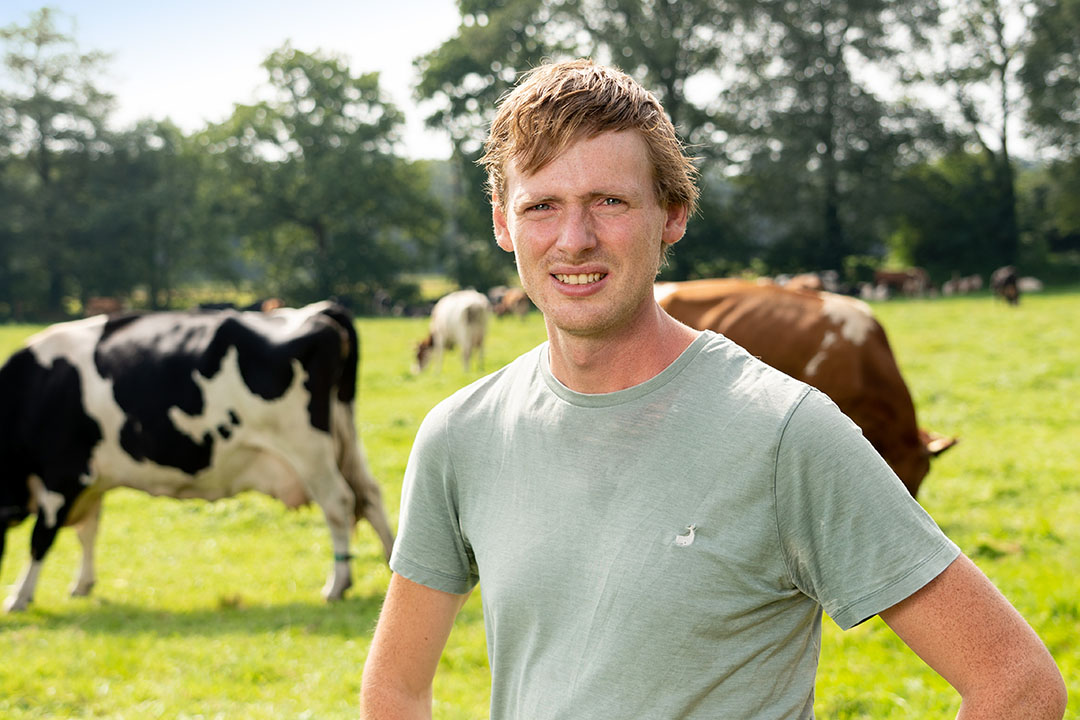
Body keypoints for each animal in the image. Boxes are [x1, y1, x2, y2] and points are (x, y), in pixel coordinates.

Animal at [0, 302, 397, 613]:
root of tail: (317, 312)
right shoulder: (90, 479)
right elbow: (88, 531)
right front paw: (82, 585)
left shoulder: (64, 473)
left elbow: (41, 538)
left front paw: (19, 596)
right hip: (344, 439)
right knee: (370, 495)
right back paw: (390, 562)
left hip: (308, 448)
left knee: (339, 503)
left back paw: (337, 584)